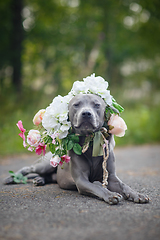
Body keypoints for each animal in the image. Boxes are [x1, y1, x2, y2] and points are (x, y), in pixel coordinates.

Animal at [4, 94, 149, 204]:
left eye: (97, 105)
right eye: (76, 105)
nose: (86, 113)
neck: (91, 144)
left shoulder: (111, 177)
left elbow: (124, 185)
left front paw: (137, 194)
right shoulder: (81, 180)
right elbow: (96, 187)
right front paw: (110, 195)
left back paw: (40, 180)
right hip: (46, 164)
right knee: (29, 168)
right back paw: (12, 178)